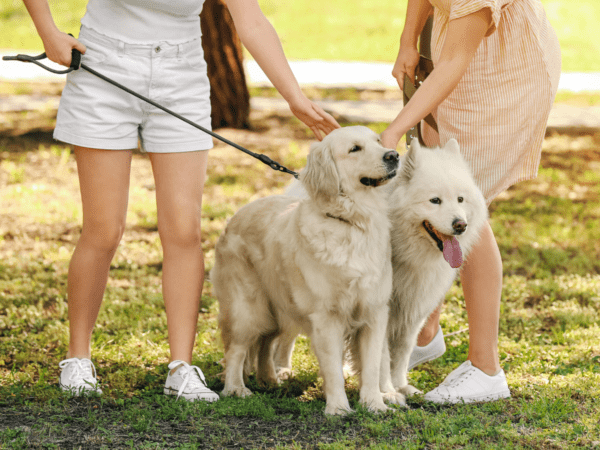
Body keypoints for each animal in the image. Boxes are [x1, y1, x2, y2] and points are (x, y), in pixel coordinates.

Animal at [211, 126, 404, 414]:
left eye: (378, 141)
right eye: (354, 149)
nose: (393, 155)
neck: (351, 222)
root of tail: (234, 217)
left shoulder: (374, 312)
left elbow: (371, 366)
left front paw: (374, 405)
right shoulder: (327, 317)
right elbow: (334, 369)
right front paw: (338, 408)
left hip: (279, 311)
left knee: (266, 342)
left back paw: (269, 380)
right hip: (248, 308)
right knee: (236, 349)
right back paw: (236, 388)